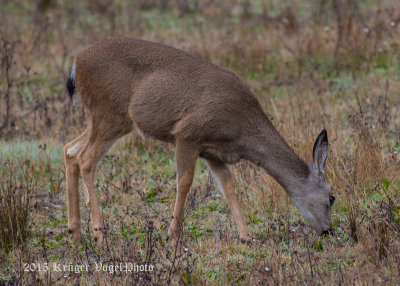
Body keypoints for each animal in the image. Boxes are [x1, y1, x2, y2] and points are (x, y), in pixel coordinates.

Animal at [65, 36, 334, 246]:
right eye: (331, 198)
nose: (329, 231)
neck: (241, 129)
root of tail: (76, 64)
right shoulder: (187, 133)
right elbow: (184, 182)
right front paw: (173, 235)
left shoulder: (213, 153)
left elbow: (228, 188)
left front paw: (246, 236)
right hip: (110, 112)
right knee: (85, 158)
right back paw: (100, 234)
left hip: (108, 119)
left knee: (70, 150)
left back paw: (76, 232)